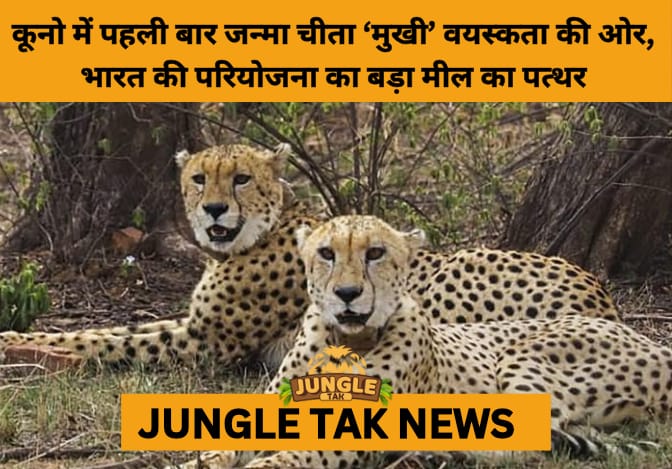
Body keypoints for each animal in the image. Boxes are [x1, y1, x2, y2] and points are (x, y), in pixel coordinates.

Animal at [0, 143, 619, 373]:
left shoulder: (208, 342)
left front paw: (24, 346)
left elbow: (104, 340)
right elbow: (112, 327)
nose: (215, 210)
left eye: (240, 178)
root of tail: (601, 294)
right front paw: (22, 338)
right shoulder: (195, 323)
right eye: (200, 178)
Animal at [187, 215, 671, 468]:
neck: (345, 340)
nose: (348, 293)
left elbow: (290, 456)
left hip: (524, 361)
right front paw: (201, 459)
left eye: (375, 253)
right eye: (326, 254)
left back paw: (433, 453)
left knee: (525, 447)